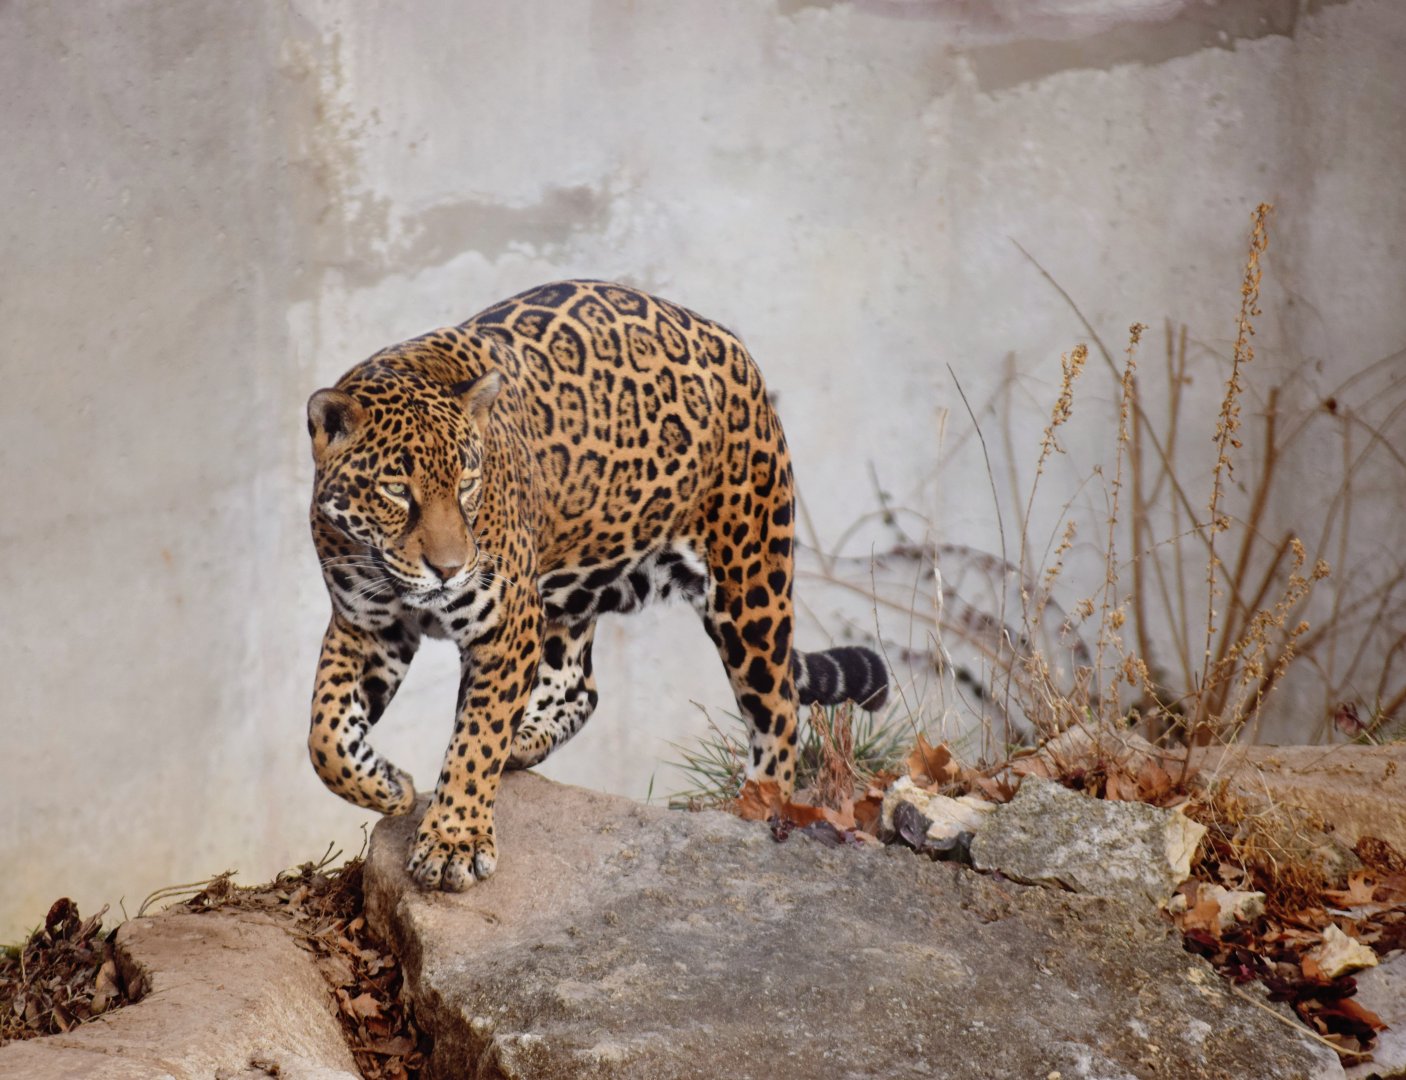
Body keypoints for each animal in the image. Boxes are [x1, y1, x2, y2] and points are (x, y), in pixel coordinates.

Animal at [306, 280, 889, 892]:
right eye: (396, 489)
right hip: (572, 588)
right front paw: (388, 785)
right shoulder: (365, 624)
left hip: (749, 582)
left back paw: (757, 809)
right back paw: (522, 740)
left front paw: (453, 841)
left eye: (467, 483)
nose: (450, 568)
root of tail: (731, 342)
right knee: (579, 686)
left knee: (778, 712)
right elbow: (325, 734)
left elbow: (476, 739)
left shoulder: (507, 626)